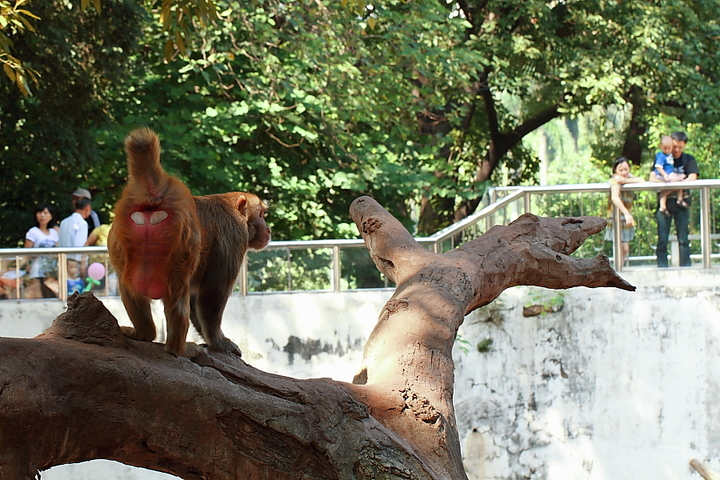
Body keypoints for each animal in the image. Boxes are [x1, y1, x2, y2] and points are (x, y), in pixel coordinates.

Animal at [108, 127, 272, 356]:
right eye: (262, 214)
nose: (268, 229)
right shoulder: (234, 236)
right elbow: (212, 293)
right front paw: (218, 342)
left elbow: (198, 297)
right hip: (183, 243)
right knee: (179, 294)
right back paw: (179, 349)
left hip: (119, 243)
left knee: (131, 288)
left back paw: (143, 333)